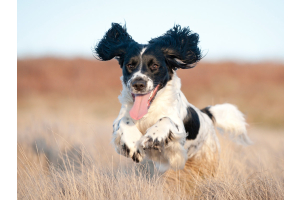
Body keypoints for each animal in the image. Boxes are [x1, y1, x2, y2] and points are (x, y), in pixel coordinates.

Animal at [94, 23, 251, 173]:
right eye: (130, 65)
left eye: (155, 65)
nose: (138, 83)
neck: (149, 110)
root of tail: (206, 114)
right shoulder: (119, 120)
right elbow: (124, 121)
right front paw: (133, 145)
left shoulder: (178, 131)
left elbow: (166, 119)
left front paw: (152, 137)